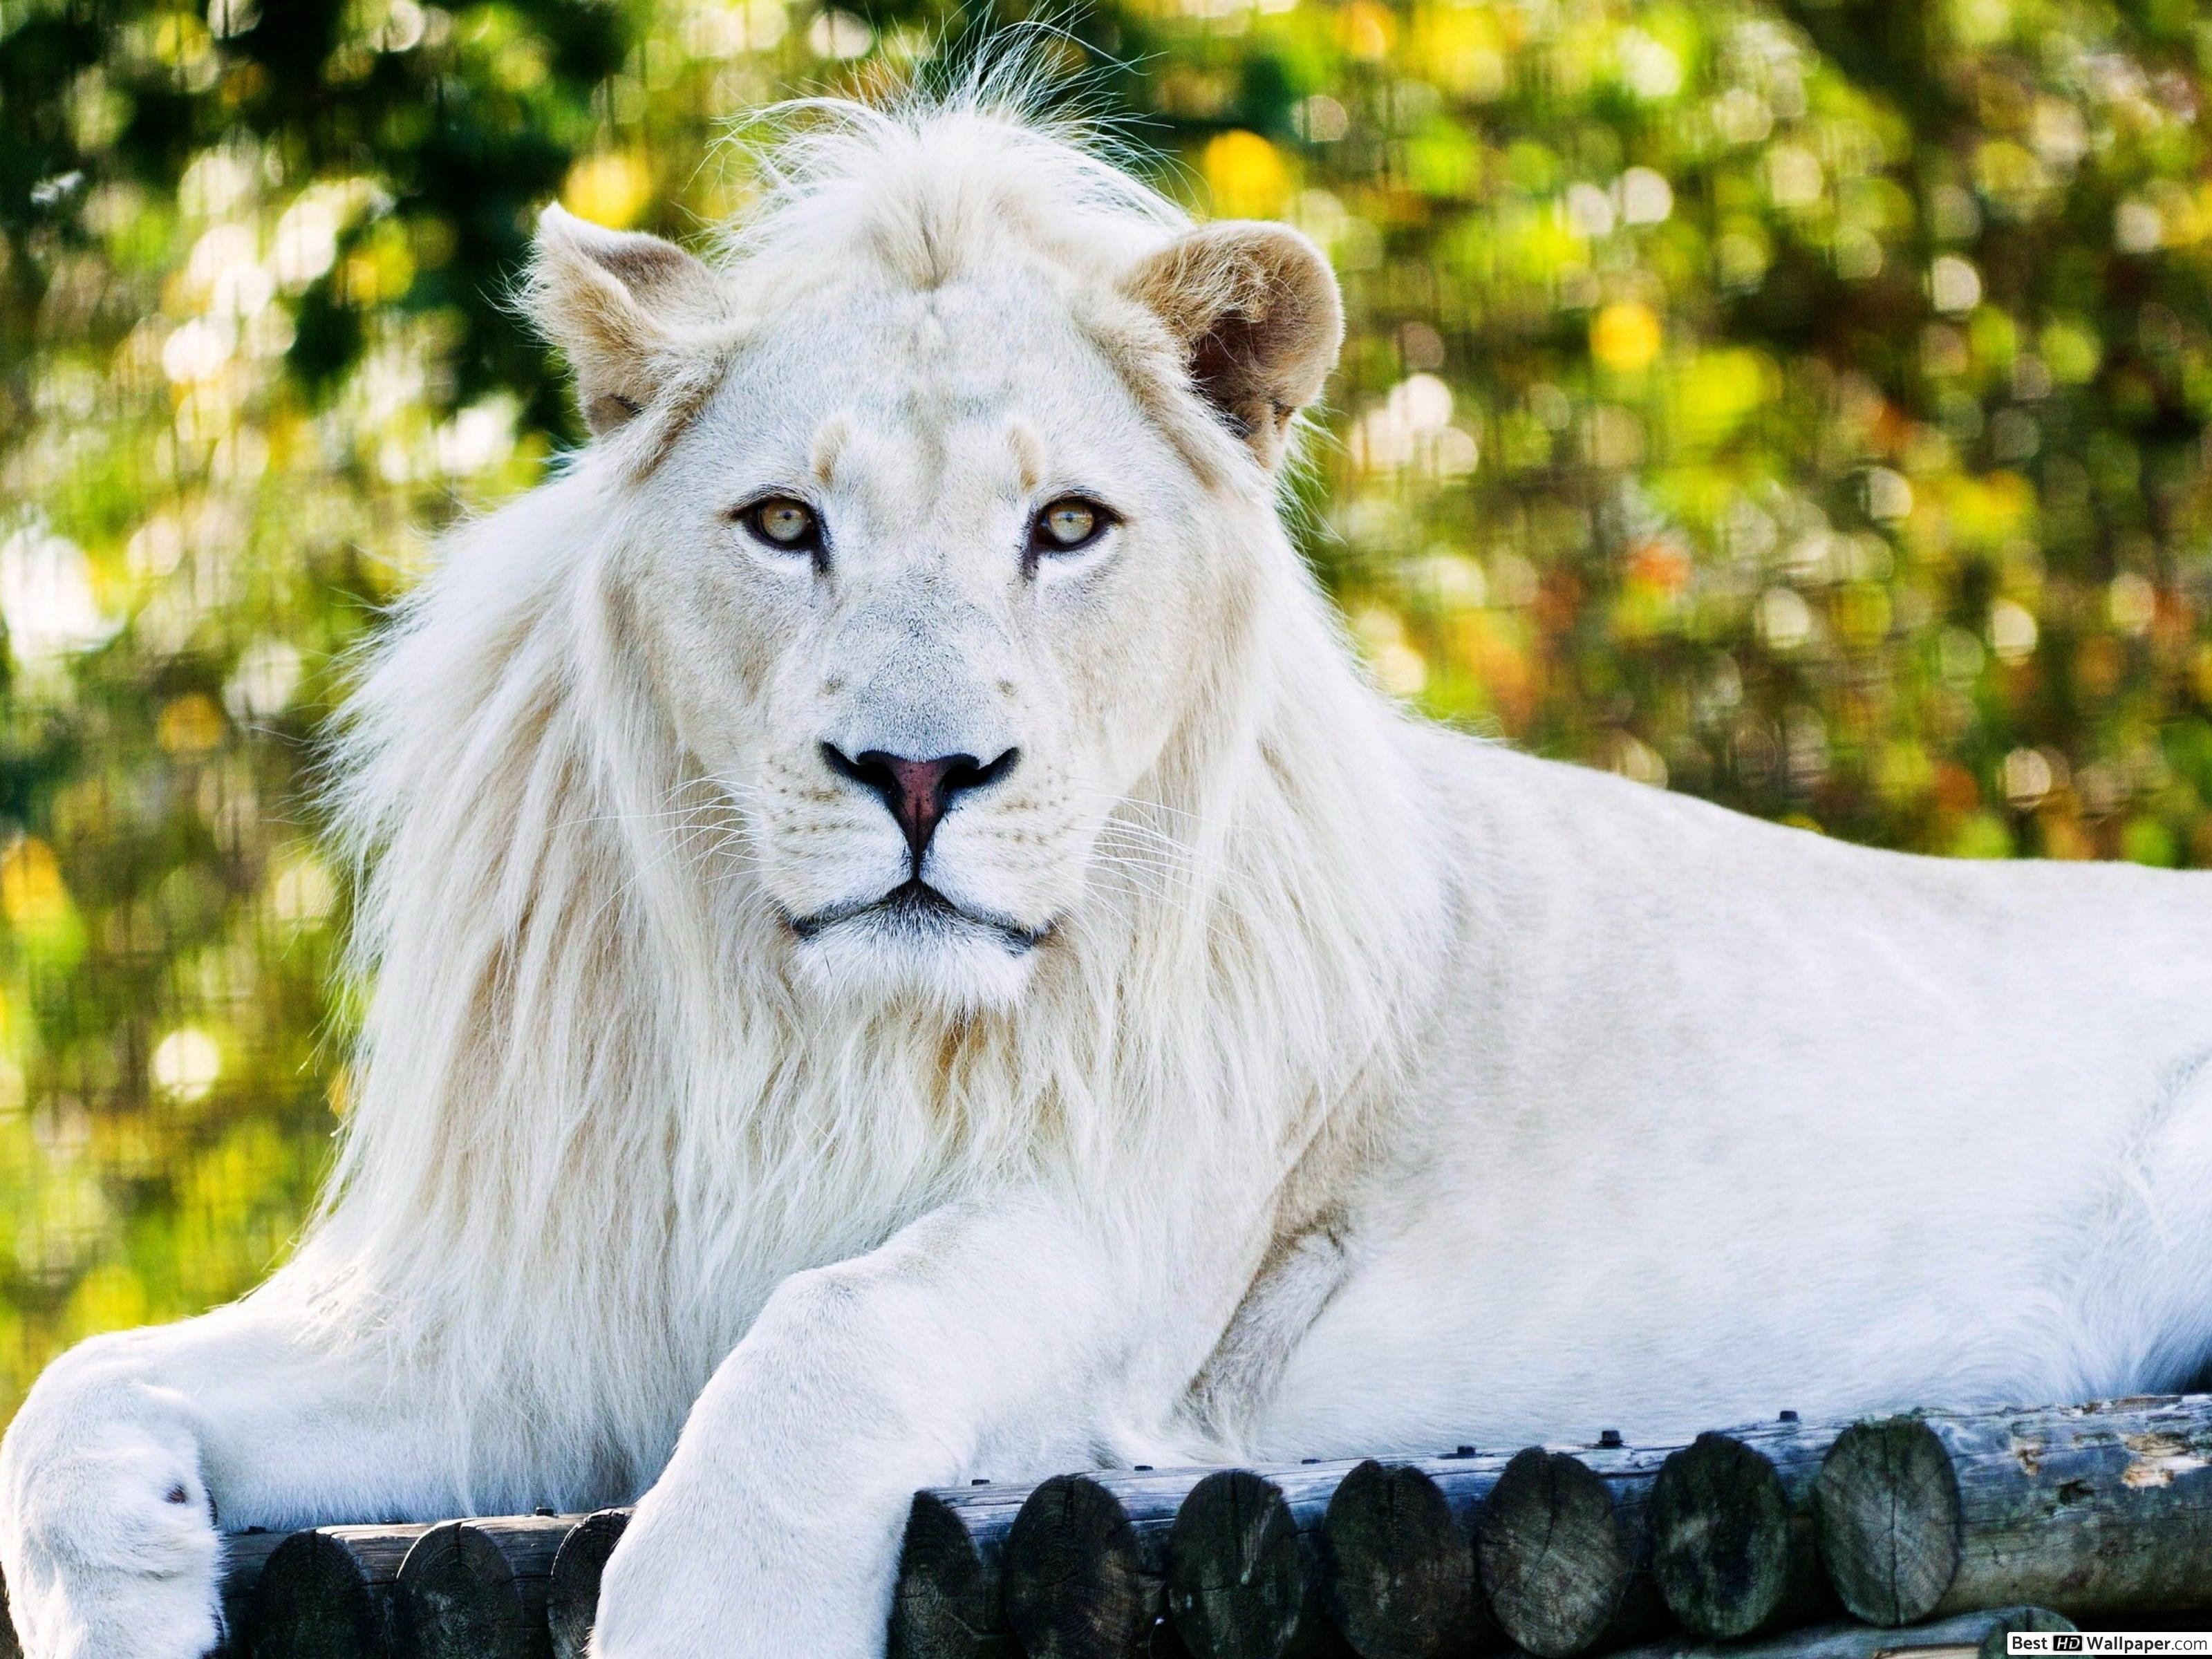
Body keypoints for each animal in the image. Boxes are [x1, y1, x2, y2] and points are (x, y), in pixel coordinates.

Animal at [6, 72, 2212, 1659]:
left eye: (1066, 527)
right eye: (786, 523)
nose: (918, 771)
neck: (817, 1033)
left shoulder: (1141, 1239)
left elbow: (830, 1338)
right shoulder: (525, 1314)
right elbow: (71, 1400)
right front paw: (129, 1586)